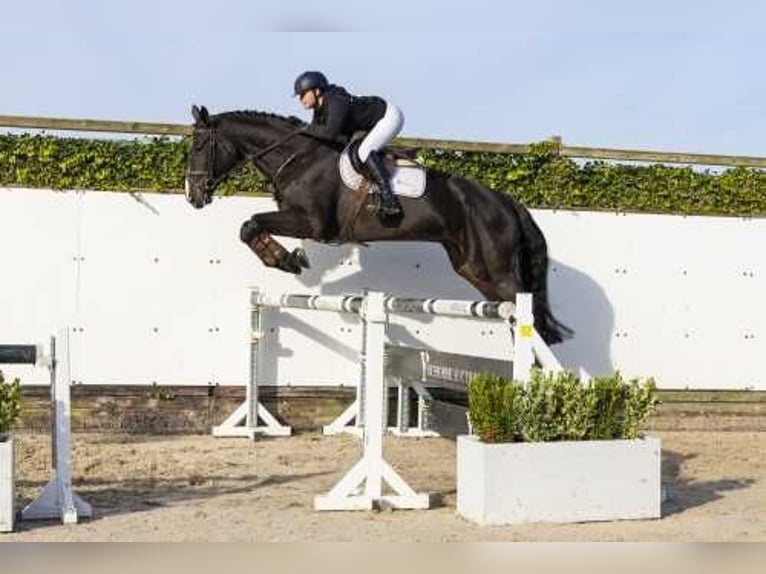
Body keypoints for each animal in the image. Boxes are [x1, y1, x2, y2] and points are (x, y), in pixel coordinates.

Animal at [184, 105, 568, 344]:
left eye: (200, 146)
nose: (193, 196)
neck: (297, 158)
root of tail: (505, 200)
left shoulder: (310, 223)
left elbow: (249, 225)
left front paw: (286, 259)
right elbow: (248, 226)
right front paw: (285, 258)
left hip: (495, 268)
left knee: (528, 314)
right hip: (473, 268)